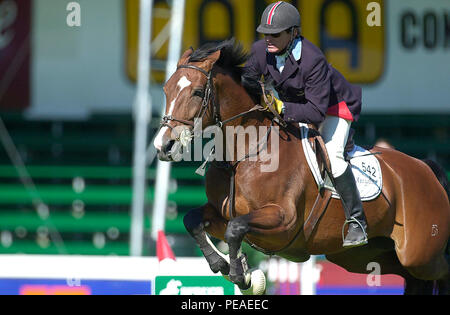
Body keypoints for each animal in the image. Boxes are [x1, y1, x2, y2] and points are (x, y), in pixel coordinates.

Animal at [153, 39, 448, 296]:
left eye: (197, 92)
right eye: (166, 90)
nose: (163, 146)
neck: (243, 154)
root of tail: (426, 169)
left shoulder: (283, 219)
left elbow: (235, 228)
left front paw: (243, 276)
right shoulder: (220, 213)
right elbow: (193, 221)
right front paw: (224, 266)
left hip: (420, 255)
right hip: (364, 255)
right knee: (411, 277)